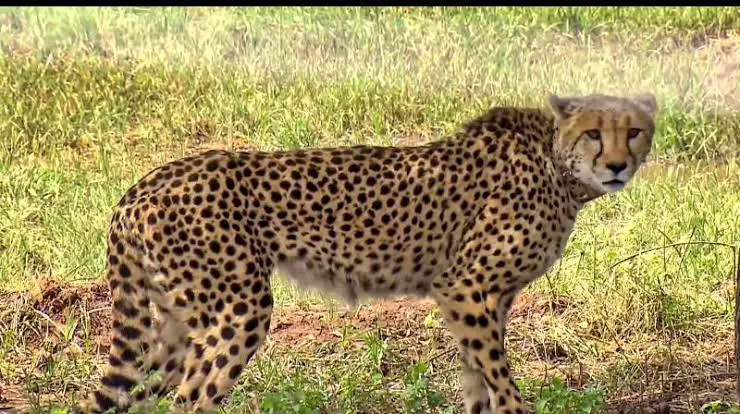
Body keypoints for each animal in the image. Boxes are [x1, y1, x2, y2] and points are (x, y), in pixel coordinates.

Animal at [77, 92, 658, 414]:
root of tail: (142, 186)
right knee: (191, 399)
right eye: (593, 134)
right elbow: (500, 384)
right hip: (237, 311)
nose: (617, 167)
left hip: (175, 324)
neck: (558, 166)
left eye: (633, 132)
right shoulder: (465, 288)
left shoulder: (482, 300)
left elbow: (477, 381)